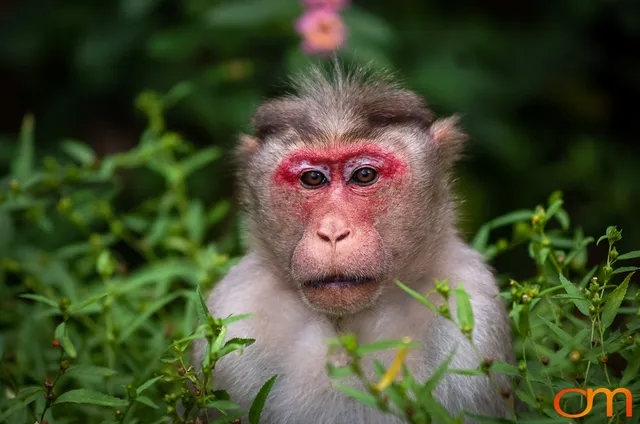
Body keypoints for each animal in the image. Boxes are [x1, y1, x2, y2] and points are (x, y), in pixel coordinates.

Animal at [192, 64, 515, 424]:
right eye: (313, 178)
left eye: (363, 176)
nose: (333, 232)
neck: (347, 325)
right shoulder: (233, 311)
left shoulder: (474, 311)